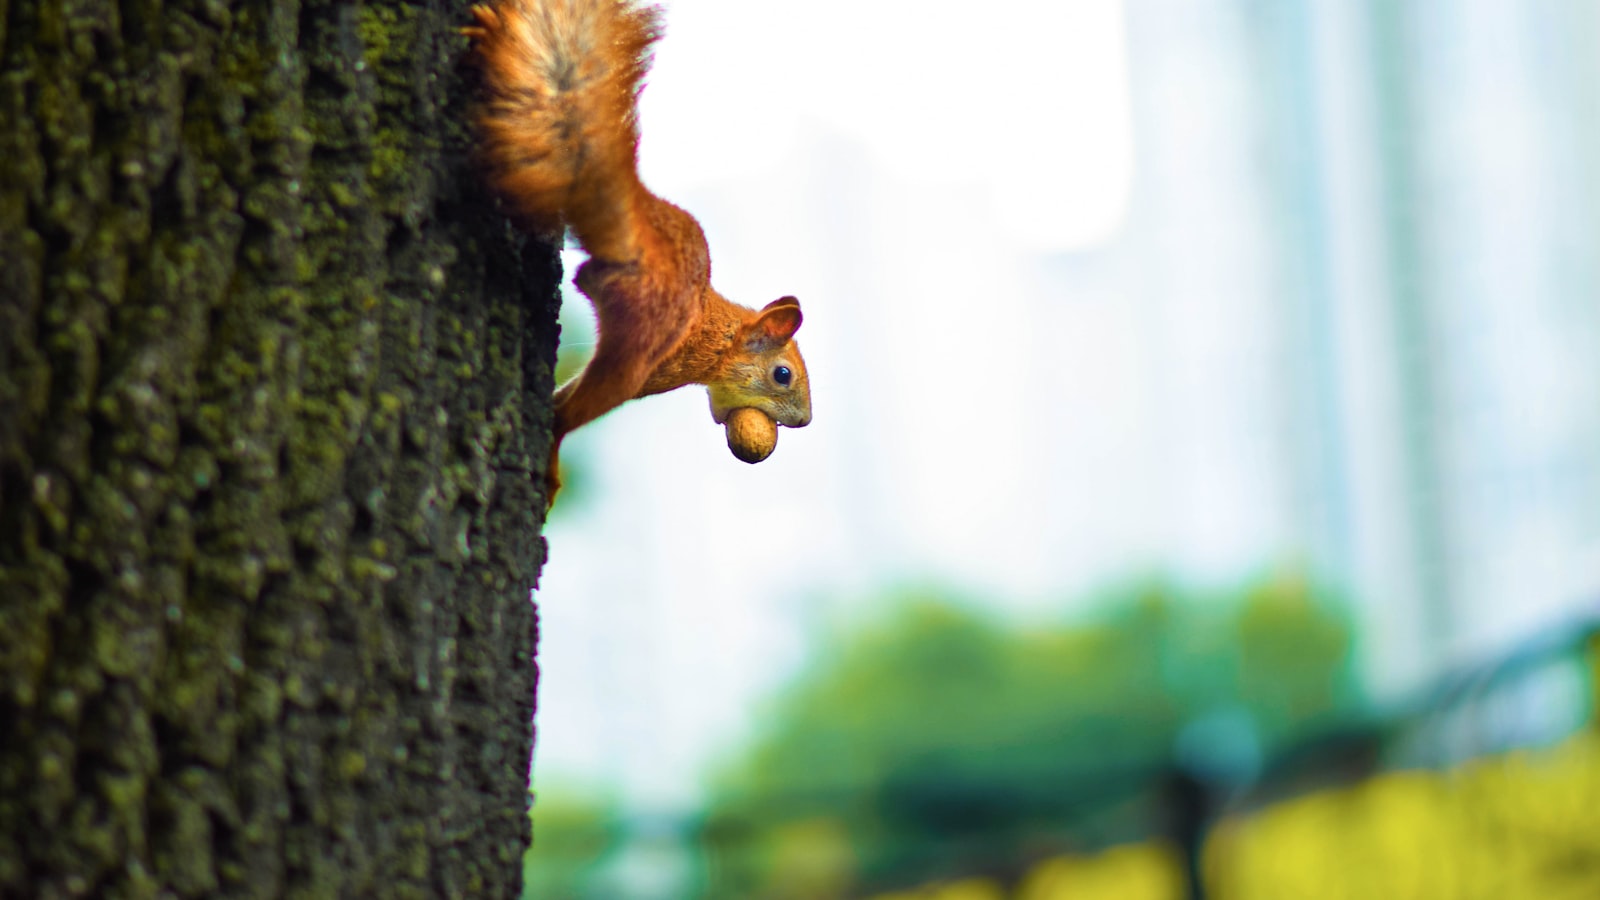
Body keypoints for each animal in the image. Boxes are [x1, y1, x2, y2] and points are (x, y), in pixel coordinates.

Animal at [464, 0, 812, 509]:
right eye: (782, 375)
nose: (804, 421)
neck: (718, 332)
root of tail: (640, 237)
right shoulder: (665, 368)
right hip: (639, 343)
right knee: (568, 414)